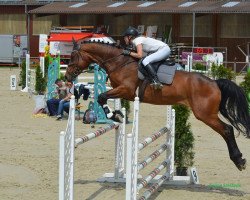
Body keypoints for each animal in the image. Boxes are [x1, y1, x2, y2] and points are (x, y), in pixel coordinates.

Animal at [65, 40, 250, 170]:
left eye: (73, 56)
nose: (67, 77)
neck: (119, 62)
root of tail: (214, 82)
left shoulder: (126, 90)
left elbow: (102, 97)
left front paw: (114, 115)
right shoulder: (121, 91)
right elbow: (102, 98)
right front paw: (118, 114)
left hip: (204, 114)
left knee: (227, 130)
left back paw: (239, 160)